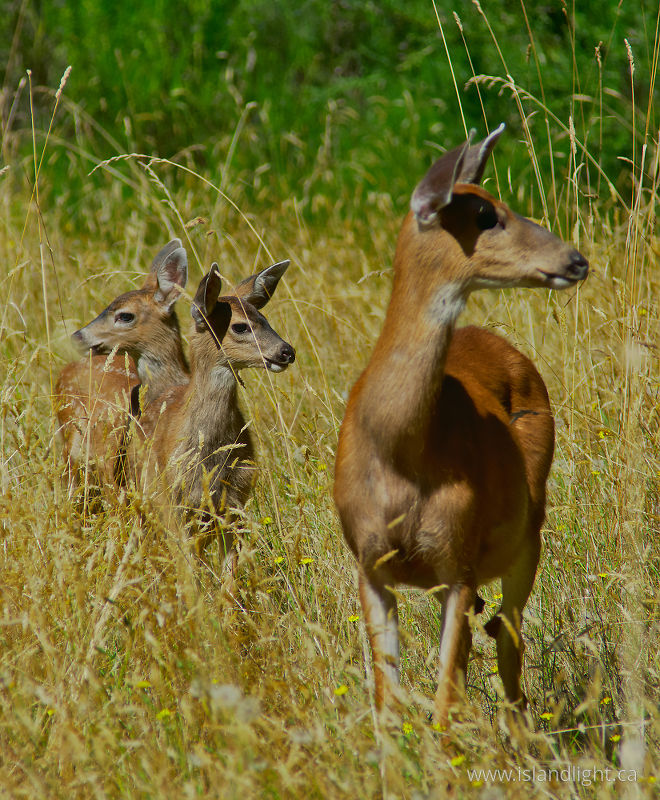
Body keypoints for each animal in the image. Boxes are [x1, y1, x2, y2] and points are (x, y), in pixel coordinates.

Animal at [333, 124, 588, 728]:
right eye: (485, 214)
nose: (576, 259)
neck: (401, 453)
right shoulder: (369, 563)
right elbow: (388, 698)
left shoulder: (460, 560)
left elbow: (445, 698)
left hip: (528, 535)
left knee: (509, 644)